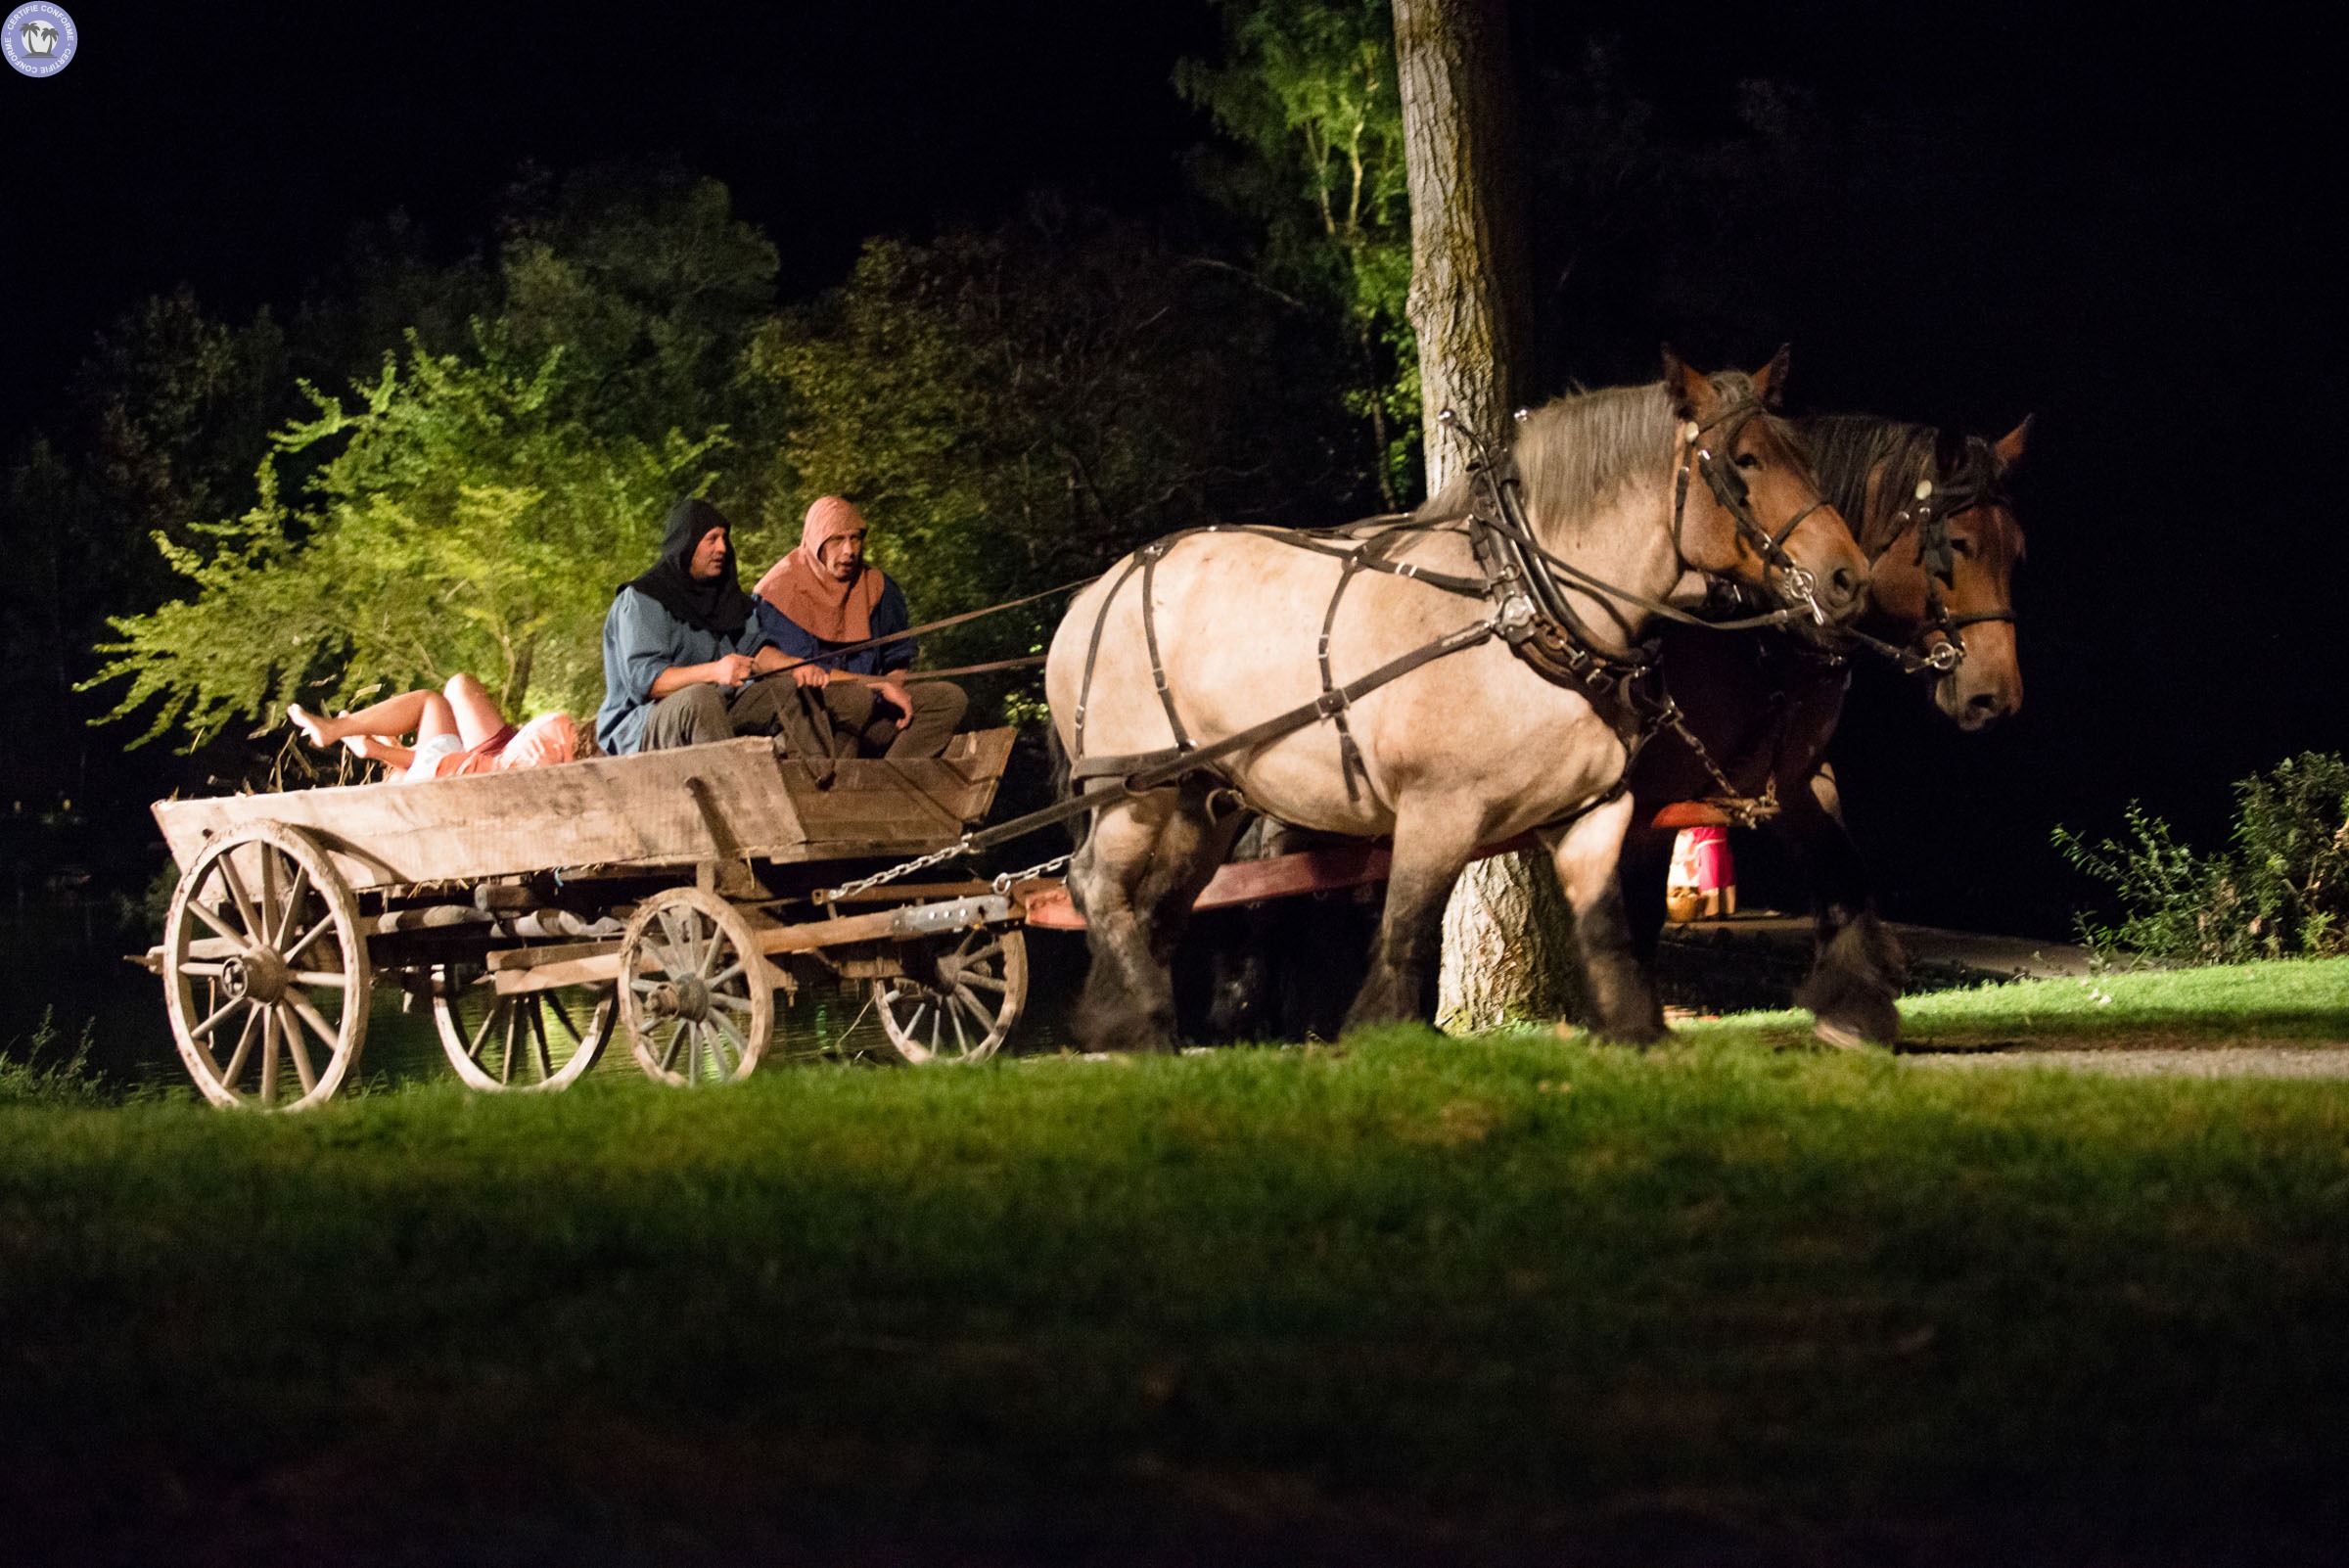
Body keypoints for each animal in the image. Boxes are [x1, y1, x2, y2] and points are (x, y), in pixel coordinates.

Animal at [1047, 354, 1869, 1051]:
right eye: (1743, 461)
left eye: (1799, 453)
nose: (1847, 576)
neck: (1523, 605)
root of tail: (1089, 598)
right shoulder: (1436, 810)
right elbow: (1405, 936)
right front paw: (1381, 1040)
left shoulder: (1591, 813)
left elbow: (1606, 935)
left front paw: (1637, 1038)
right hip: (1130, 792)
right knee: (1097, 885)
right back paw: (1135, 1026)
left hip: (1202, 798)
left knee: (1158, 903)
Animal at [1625, 413, 2029, 1041]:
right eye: (1958, 545)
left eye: (2015, 552)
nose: (1997, 698)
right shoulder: (1655, 799)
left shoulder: (1787, 780)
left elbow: (1842, 869)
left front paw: (1854, 1000)